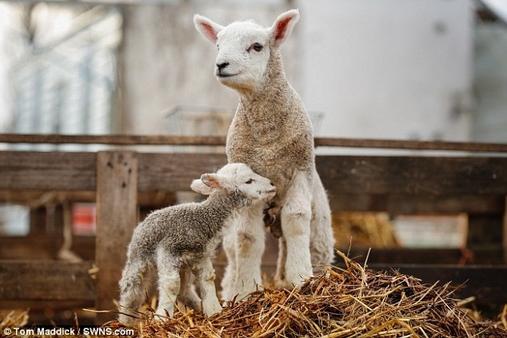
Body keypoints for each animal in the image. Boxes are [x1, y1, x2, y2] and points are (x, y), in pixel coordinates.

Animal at [117, 164, 276, 324]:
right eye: (248, 181)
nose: (272, 184)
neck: (203, 219)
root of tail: (148, 216)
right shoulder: (168, 250)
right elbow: (172, 284)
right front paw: (162, 318)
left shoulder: (200, 255)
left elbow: (208, 278)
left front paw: (215, 312)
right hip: (138, 256)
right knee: (131, 290)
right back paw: (125, 321)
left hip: (184, 265)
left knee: (184, 290)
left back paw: (198, 307)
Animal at [192, 7, 336, 300]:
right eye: (218, 45)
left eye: (257, 46)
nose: (221, 64)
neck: (267, 138)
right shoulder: (249, 182)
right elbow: (248, 237)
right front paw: (247, 290)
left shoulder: (300, 168)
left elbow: (296, 219)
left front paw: (301, 279)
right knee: (234, 251)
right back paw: (232, 290)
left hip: (320, 226)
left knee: (316, 249)